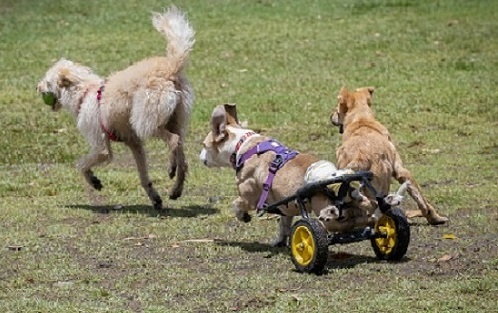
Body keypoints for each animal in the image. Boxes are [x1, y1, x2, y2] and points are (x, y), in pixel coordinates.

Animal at [35, 6, 194, 210]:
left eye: (47, 81)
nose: (36, 87)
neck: (85, 93)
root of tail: (170, 68)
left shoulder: (101, 145)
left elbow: (82, 164)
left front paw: (93, 180)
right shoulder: (134, 143)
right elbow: (143, 176)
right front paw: (154, 198)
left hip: (145, 121)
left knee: (173, 141)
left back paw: (172, 167)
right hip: (173, 120)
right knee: (182, 152)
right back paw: (176, 188)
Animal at [200, 103, 376, 245]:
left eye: (204, 145)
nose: (199, 155)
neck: (242, 145)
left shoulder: (248, 198)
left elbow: (236, 204)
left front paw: (243, 216)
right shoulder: (286, 208)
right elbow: (283, 225)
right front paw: (279, 241)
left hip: (325, 212)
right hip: (360, 202)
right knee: (368, 211)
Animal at [328, 85, 450, 224]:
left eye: (336, 109)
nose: (330, 116)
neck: (362, 120)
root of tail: (361, 157)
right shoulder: (402, 171)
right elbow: (423, 202)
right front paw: (435, 218)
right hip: (382, 187)